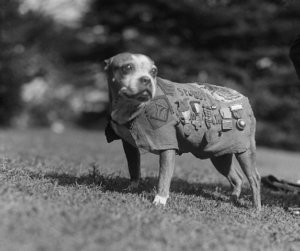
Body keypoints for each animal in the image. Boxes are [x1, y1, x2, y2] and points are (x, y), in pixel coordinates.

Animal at [104, 52, 262, 210]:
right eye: (127, 67)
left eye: (154, 71)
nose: (146, 79)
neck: (131, 108)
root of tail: (244, 98)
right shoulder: (129, 146)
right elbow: (134, 167)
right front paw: (132, 188)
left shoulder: (167, 147)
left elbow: (164, 176)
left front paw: (160, 200)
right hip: (219, 155)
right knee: (237, 178)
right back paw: (232, 199)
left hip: (245, 152)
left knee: (254, 178)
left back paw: (256, 208)